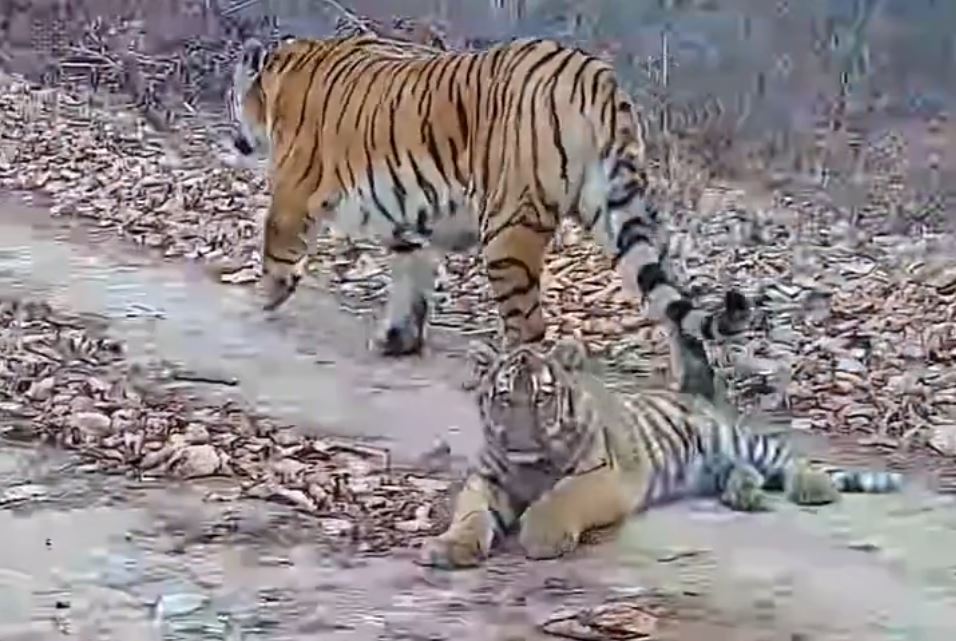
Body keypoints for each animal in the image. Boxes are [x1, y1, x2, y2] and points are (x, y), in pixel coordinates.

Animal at [228, 33, 751, 378]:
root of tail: (595, 76)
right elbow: (409, 279)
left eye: (234, 100)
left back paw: (507, 377)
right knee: (668, 295)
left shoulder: (293, 189)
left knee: (529, 326)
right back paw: (695, 383)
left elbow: (276, 244)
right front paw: (397, 339)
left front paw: (265, 298)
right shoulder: (409, 221)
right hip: (617, 211)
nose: (235, 139)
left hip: (507, 228)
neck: (280, 74)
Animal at [417, 338, 903, 568]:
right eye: (504, 398)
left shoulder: (607, 474)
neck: (531, 467)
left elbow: (563, 495)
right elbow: (470, 513)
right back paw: (744, 494)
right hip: (716, 463)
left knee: (785, 459)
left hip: (734, 439)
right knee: (742, 472)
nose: (520, 441)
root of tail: (698, 396)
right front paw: (450, 546)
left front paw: (541, 535)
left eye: (541, 399)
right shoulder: (487, 479)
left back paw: (812, 486)